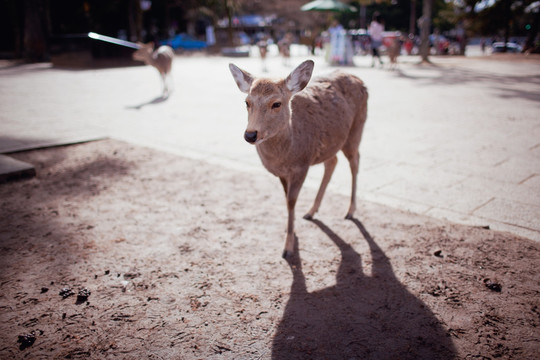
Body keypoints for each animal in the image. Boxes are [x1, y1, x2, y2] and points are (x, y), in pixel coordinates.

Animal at [228, 59, 368, 258]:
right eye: (247, 102)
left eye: (276, 103)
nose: (250, 134)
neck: (286, 155)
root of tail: (359, 80)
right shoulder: (282, 173)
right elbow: (287, 200)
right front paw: (291, 233)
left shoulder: (302, 165)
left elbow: (291, 202)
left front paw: (288, 247)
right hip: (333, 141)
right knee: (332, 162)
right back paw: (311, 211)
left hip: (356, 129)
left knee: (355, 162)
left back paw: (350, 211)